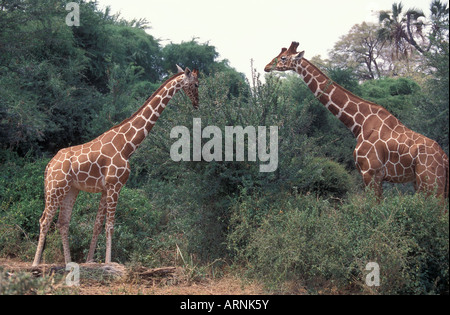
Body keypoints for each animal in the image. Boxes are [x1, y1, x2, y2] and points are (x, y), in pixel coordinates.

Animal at [33, 66, 199, 266]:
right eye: (196, 84)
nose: (197, 103)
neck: (126, 145)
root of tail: (49, 165)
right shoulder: (115, 186)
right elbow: (110, 226)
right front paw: (108, 262)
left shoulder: (106, 189)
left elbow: (97, 225)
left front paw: (90, 261)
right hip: (55, 187)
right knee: (44, 220)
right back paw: (35, 263)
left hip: (71, 189)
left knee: (63, 222)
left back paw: (68, 263)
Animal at [266, 42, 448, 200]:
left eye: (283, 58)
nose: (266, 66)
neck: (359, 123)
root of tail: (445, 158)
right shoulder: (371, 175)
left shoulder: (370, 172)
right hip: (427, 183)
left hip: (430, 182)